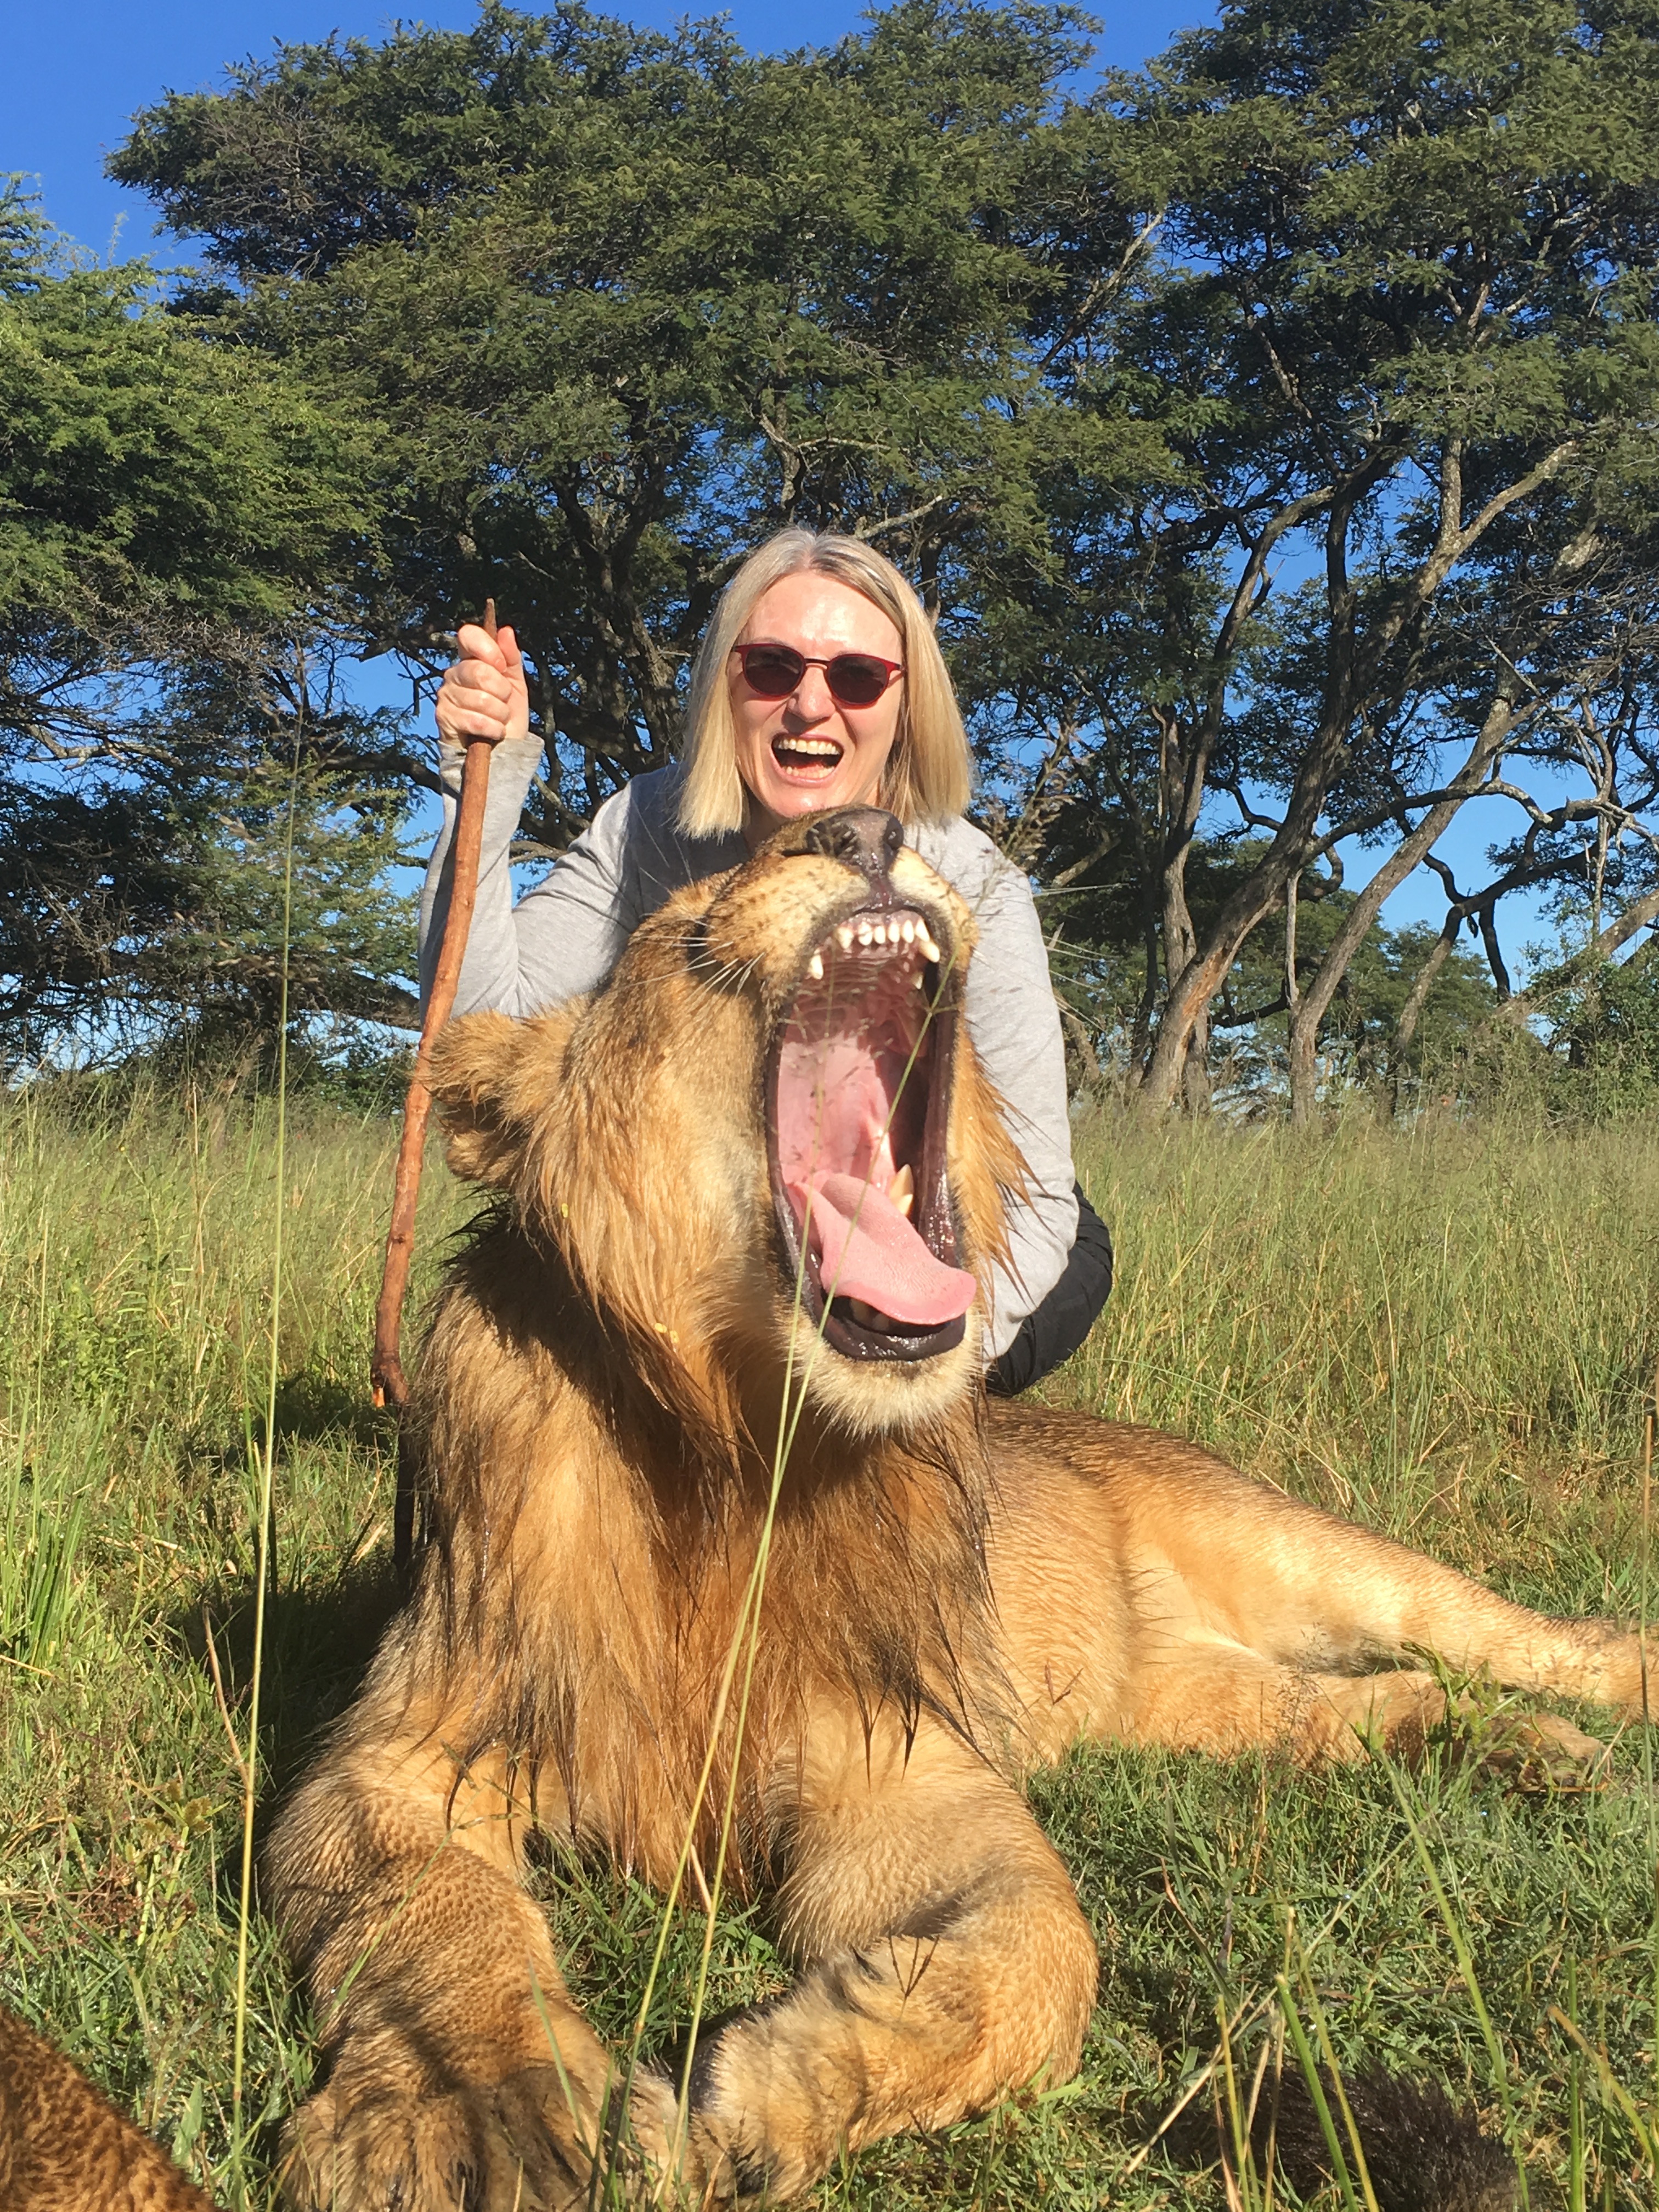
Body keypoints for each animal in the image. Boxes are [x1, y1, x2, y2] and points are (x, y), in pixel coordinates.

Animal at [270, 805, 1649, 2211]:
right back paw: (1527, 1756)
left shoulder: (903, 1764)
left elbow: (1047, 1954)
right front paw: (468, 2106)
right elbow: (438, 1914)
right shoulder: (397, 1755)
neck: (733, 1451)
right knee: (1371, 1705)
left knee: (1529, 1641)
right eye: (679, 929)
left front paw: (764, 2098)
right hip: (1191, 1706)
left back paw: (1594, 1717)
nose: (865, 826)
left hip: (1321, 1558)